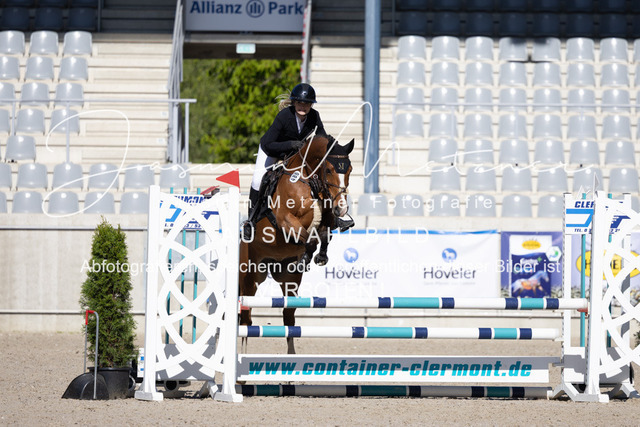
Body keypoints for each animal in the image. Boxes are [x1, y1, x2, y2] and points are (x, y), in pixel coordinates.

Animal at [239, 135, 354, 354]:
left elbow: (324, 233)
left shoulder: (327, 217)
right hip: (249, 276)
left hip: (288, 279)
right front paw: (308, 256)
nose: (342, 208)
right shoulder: (285, 219)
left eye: (350, 169)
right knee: (245, 318)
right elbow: (307, 237)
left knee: (289, 318)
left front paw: (319, 257)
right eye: (329, 170)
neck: (308, 178)